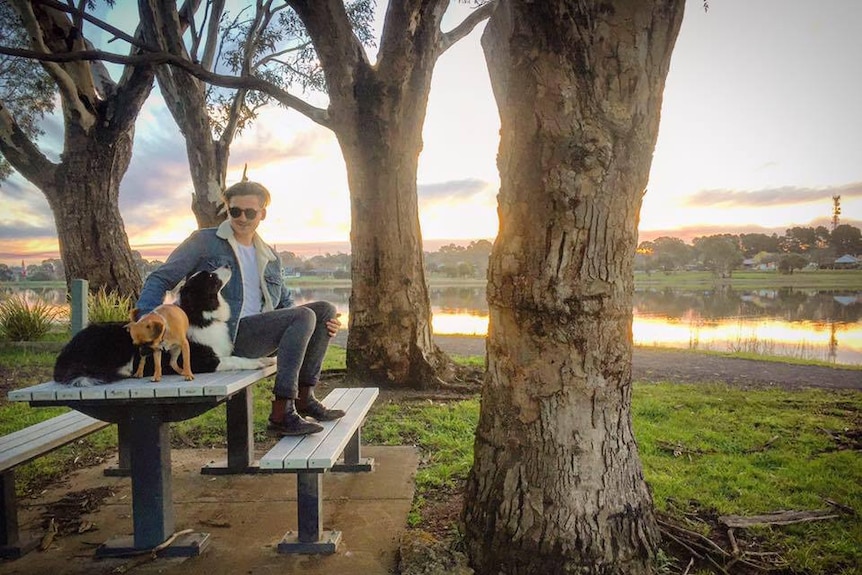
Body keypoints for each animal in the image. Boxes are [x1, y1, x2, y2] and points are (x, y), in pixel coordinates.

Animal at [54, 266, 276, 388]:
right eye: (210, 277)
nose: (229, 265)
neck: (200, 313)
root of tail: (65, 353)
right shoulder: (201, 361)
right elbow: (233, 360)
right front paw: (257, 363)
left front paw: (266, 359)